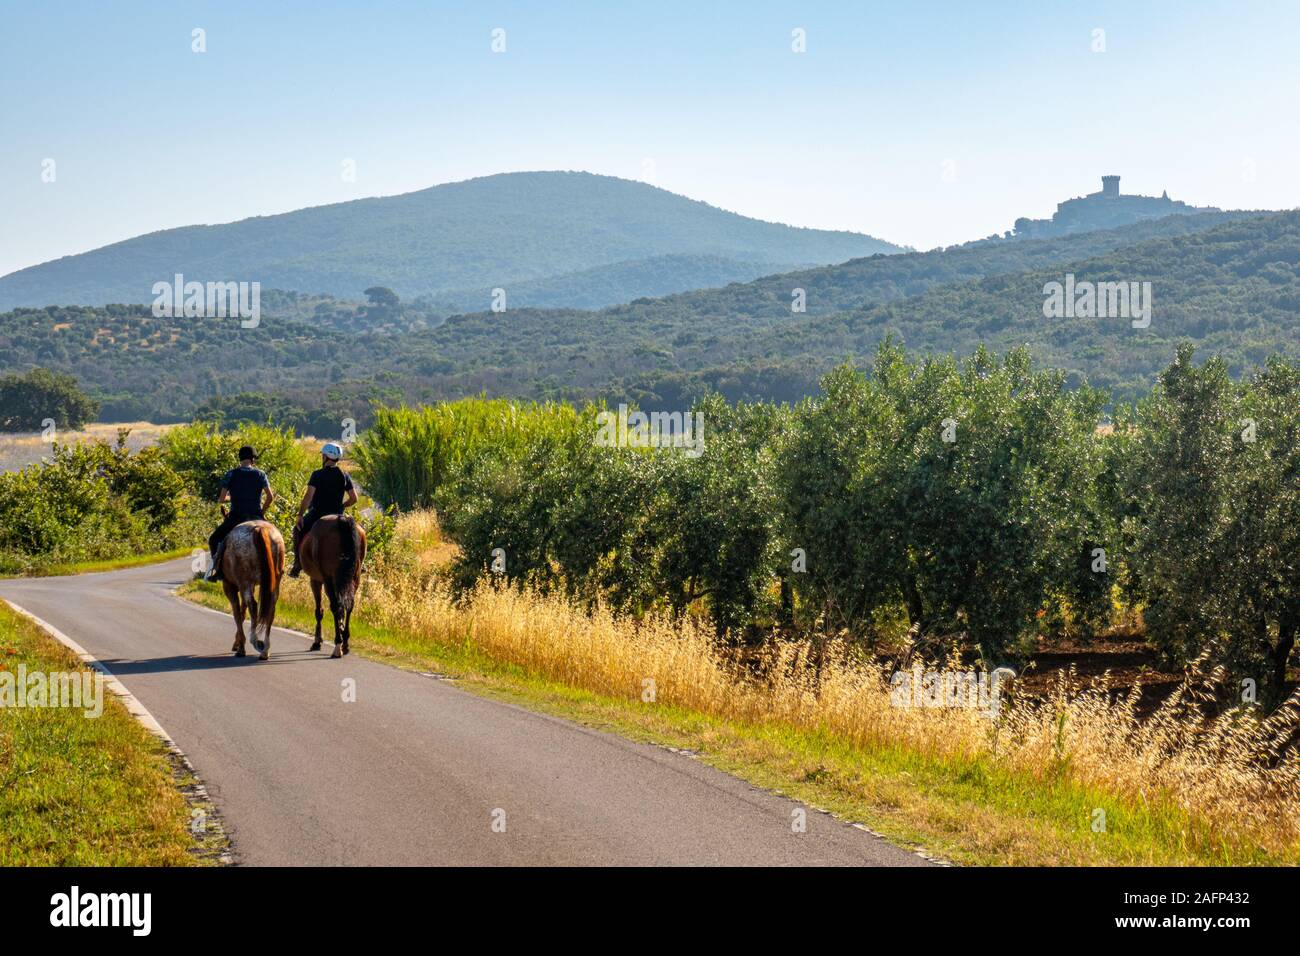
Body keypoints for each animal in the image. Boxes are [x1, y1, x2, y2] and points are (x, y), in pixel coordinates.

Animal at [219, 520, 286, 660]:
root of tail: (259, 529)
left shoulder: (230, 587)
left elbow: (237, 614)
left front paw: (240, 646)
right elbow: (242, 611)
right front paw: (237, 643)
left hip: (245, 581)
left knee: (253, 606)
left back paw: (253, 642)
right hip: (274, 582)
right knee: (270, 609)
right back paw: (265, 650)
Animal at [299, 515, 366, 658]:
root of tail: (342, 519)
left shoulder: (316, 580)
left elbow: (319, 611)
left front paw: (317, 641)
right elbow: (341, 609)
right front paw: (341, 628)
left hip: (328, 579)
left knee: (335, 606)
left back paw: (337, 645)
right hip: (354, 578)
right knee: (349, 605)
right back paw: (345, 644)